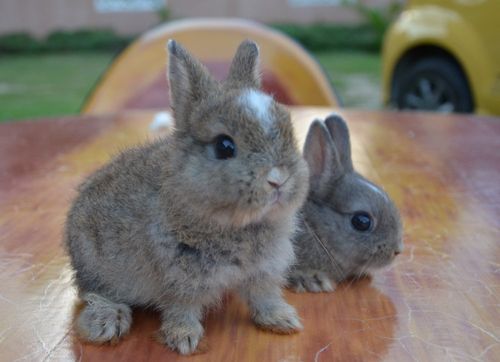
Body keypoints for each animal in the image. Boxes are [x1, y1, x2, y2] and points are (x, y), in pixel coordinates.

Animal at [64, 39, 308, 354]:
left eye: (289, 130)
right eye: (224, 146)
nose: (278, 178)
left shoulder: (263, 271)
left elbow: (263, 296)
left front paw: (282, 320)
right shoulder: (181, 279)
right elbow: (182, 308)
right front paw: (184, 339)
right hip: (96, 265)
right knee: (94, 292)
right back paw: (106, 323)